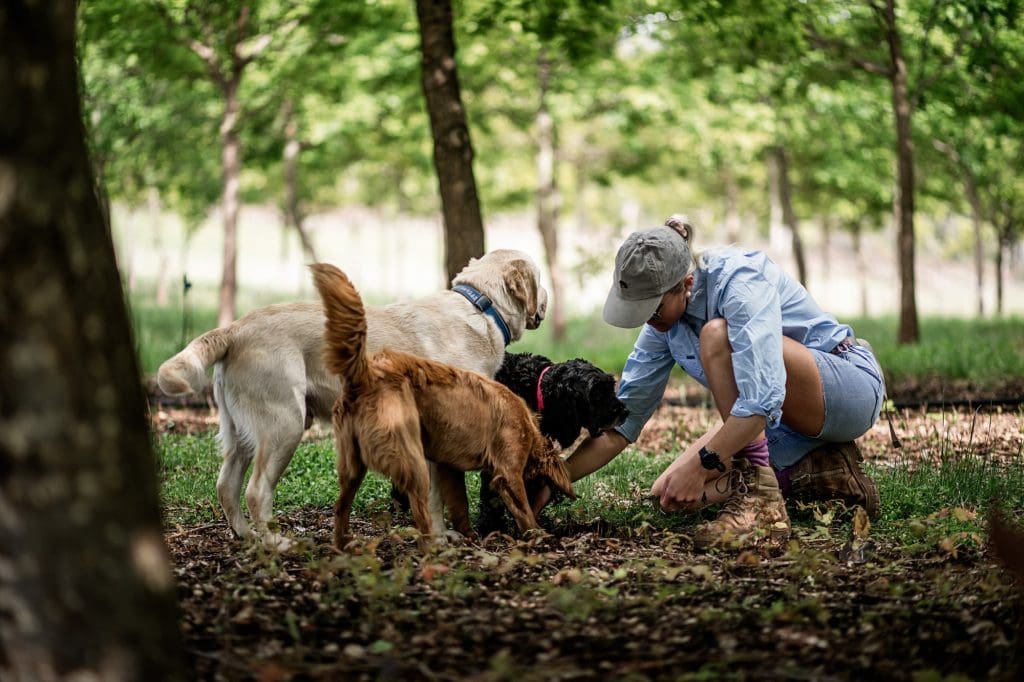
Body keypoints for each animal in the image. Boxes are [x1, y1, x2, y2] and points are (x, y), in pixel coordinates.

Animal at [309, 260, 577, 548]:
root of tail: (365, 374)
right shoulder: (508, 471)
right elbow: (522, 509)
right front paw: (536, 534)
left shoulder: (450, 468)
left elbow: (460, 503)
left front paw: (469, 534)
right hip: (411, 460)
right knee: (420, 514)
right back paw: (435, 547)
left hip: (352, 466)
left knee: (340, 508)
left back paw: (343, 544)